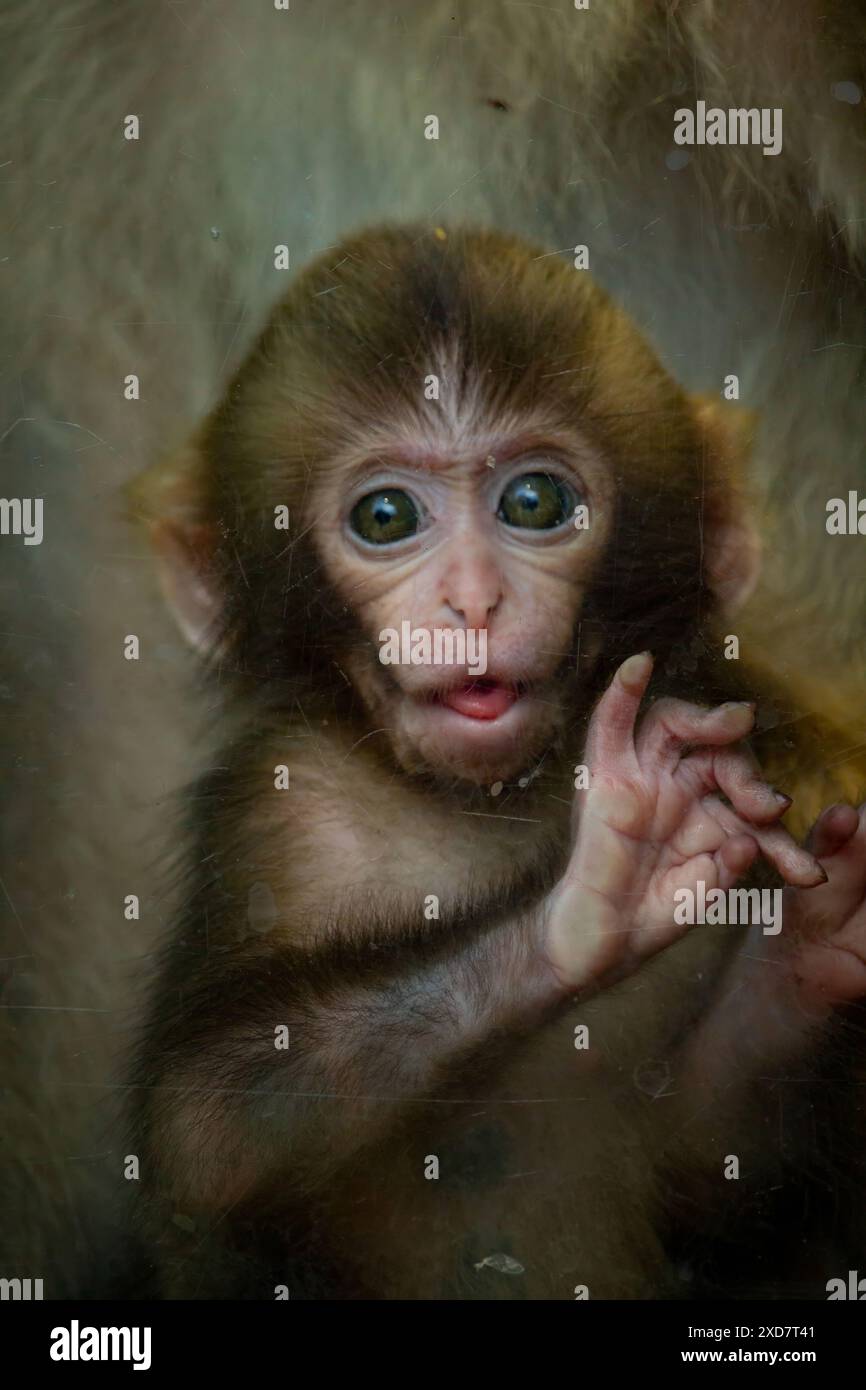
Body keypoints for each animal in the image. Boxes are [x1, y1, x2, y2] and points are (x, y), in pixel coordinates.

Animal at [2, 0, 866, 1299]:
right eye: (384, 517)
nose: (468, 598)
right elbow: (208, 1123)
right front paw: (593, 889)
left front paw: (811, 950)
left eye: (534, 501)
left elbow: (698, 1161)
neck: (473, 808)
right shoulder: (282, 808)